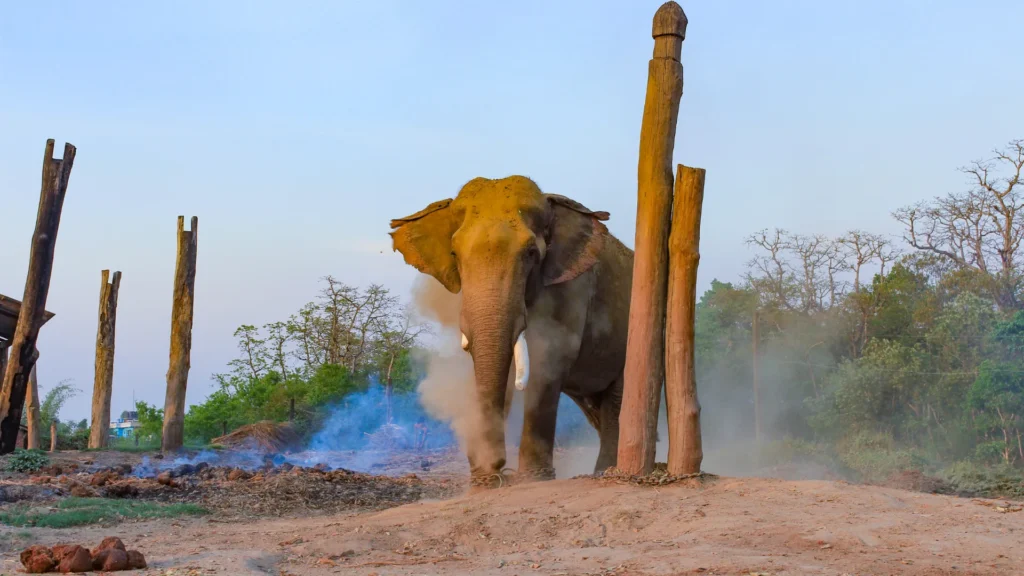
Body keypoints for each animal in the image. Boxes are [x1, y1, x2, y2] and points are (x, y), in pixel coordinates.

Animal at [389, 175, 633, 487]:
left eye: (531, 254)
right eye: (454, 254)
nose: (497, 467)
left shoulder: (571, 287)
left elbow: (549, 361)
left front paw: (532, 479)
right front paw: (484, 479)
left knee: (617, 399)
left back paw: (604, 472)